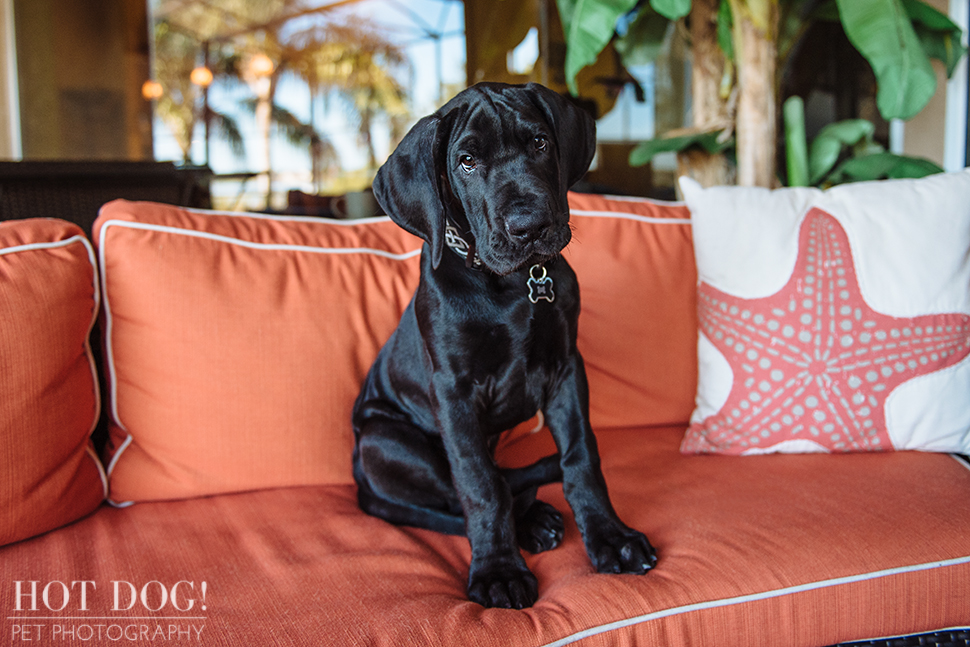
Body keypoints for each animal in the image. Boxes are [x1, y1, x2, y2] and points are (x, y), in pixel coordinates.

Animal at [352, 81, 656, 608]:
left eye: (539, 143)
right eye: (466, 161)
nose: (529, 226)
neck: (514, 286)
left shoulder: (566, 368)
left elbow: (583, 457)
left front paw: (611, 538)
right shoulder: (453, 393)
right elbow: (479, 484)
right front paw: (498, 569)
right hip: (382, 440)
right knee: (464, 488)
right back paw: (529, 521)